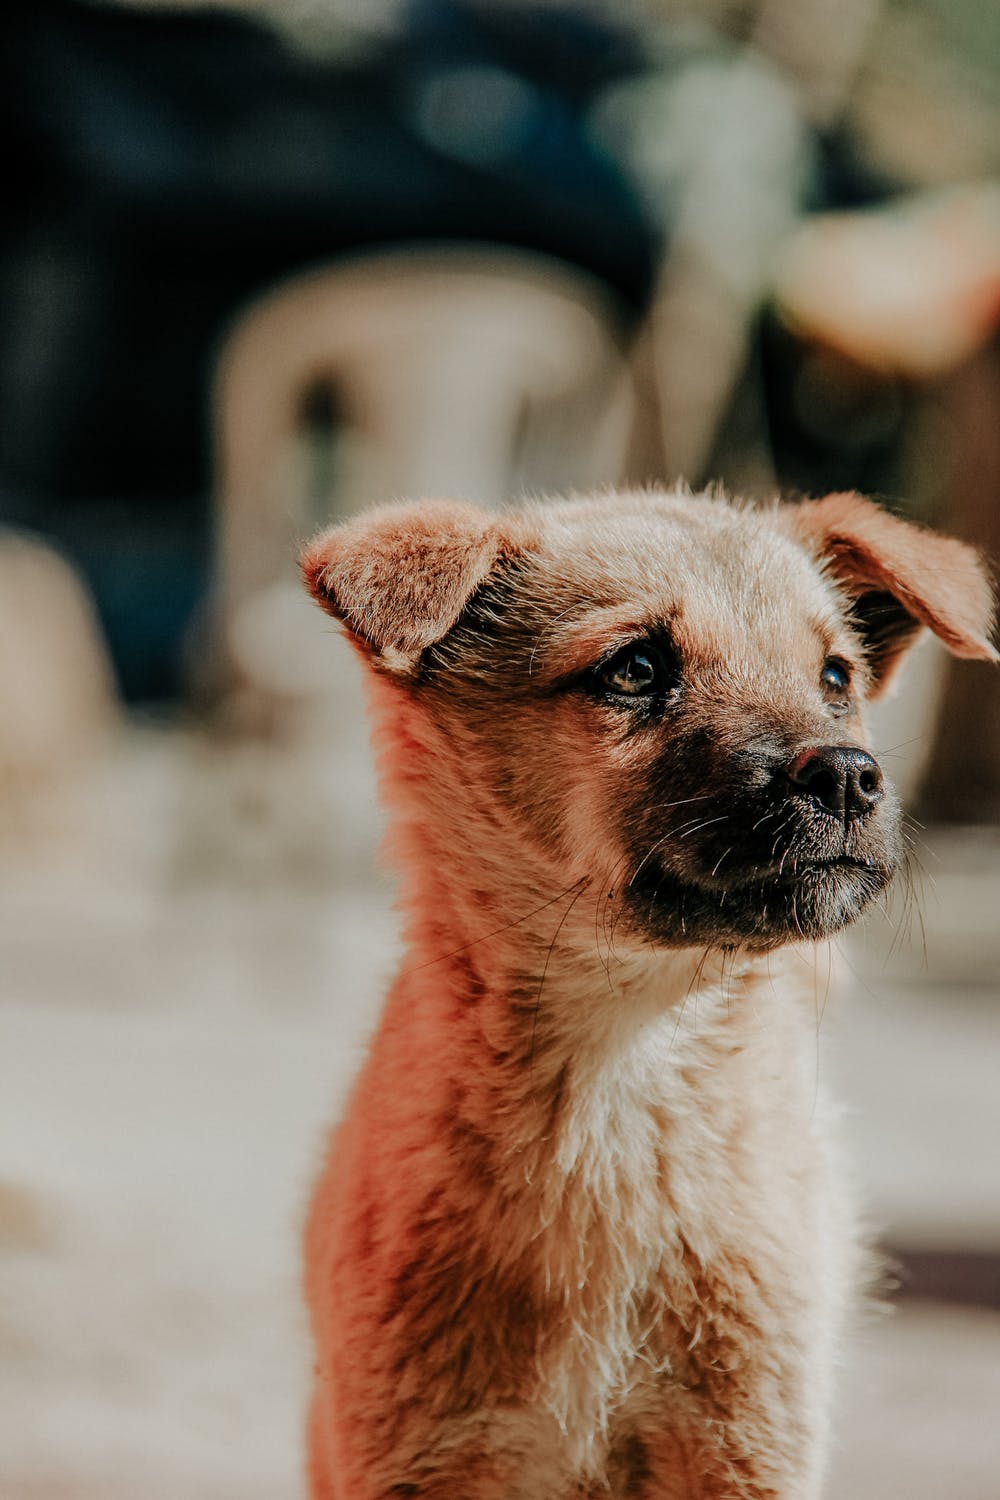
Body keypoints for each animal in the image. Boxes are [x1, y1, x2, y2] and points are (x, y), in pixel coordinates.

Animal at [301, 486, 995, 1494]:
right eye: (635, 669)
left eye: (836, 677)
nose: (848, 776)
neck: (626, 1069)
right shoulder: (420, 1451)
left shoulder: (745, 1445)